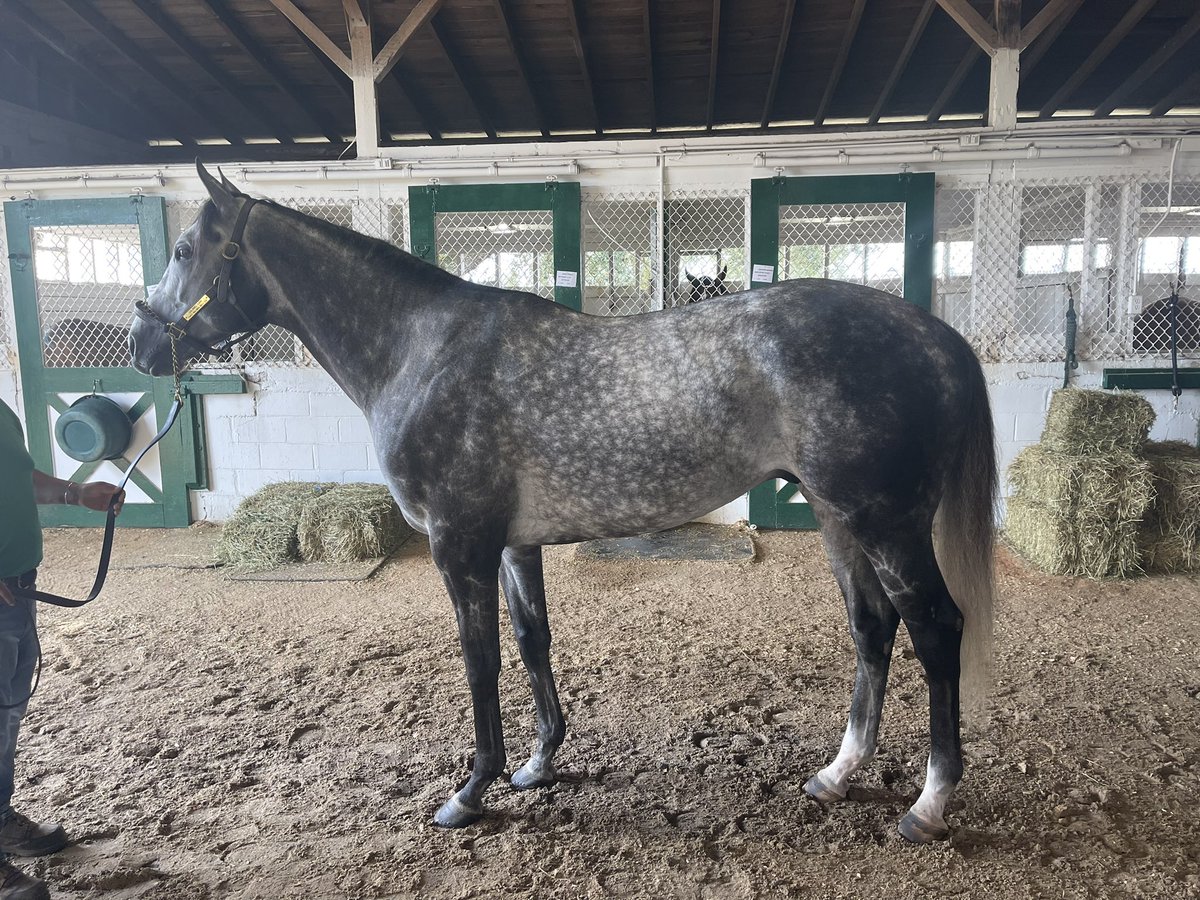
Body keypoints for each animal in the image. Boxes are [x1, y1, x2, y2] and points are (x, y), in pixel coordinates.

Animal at [130, 163, 996, 844]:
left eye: (184, 249)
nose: (139, 343)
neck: (421, 350)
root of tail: (934, 335)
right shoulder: (514, 544)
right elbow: (531, 641)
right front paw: (539, 761)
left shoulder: (459, 544)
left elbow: (479, 660)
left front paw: (470, 791)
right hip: (838, 518)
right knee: (872, 628)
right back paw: (837, 774)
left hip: (885, 522)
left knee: (935, 630)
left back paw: (927, 806)